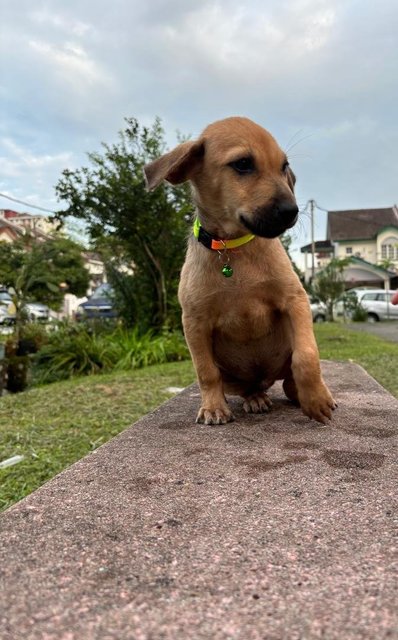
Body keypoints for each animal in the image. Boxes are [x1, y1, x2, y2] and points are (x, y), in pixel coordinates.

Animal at [144, 116, 336, 424]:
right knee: (246, 386)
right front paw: (213, 407)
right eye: (243, 164)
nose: (292, 211)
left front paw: (316, 399)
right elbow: (205, 372)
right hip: (233, 376)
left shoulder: (295, 300)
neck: (232, 248)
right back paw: (255, 398)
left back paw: (305, 394)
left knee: (289, 379)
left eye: (284, 167)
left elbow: (307, 355)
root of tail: (265, 379)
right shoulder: (194, 322)